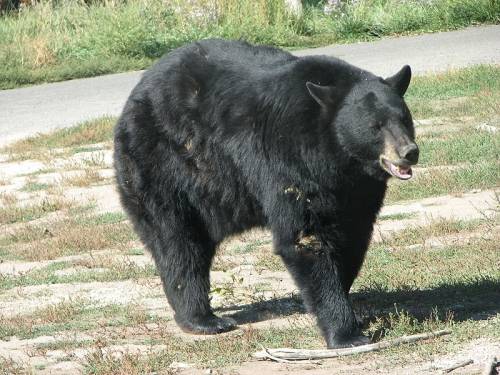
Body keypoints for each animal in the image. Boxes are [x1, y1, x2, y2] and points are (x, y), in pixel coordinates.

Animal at [113, 39, 418, 350]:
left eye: (404, 118)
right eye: (375, 126)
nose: (409, 152)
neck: (337, 156)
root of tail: (135, 94)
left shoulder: (357, 189)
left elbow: (353, 234)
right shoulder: (289, 159)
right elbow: (305, 237)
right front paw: (345, 333)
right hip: (163, 165)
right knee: (178, 242)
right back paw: (203, 319)